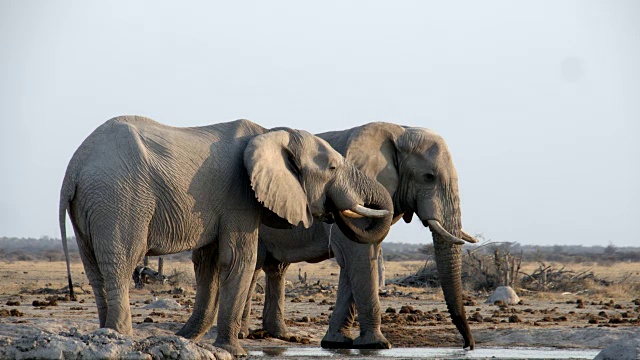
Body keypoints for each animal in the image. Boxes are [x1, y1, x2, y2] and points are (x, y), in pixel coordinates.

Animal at [57, 116, 392, 354]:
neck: (271, 133)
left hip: (91, 205)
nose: (336, 215)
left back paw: (105, 334)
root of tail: (73, 167)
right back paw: (121, 337)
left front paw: (187, 339)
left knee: (94, 268)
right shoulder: (239, 195)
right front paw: (234, 351)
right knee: (121, 263)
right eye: (333, 167)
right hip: (118, 199)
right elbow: (238, 259)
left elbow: (208, 262)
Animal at [242, 122, 478, 350]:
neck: (399, 130)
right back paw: (244, 335)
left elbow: (354, 263)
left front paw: (335, 343)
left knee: (275, 268)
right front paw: (378, 345)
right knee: (255, 266)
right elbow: (360, 257)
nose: (468, 346)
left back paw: (281, 336)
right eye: (428, 177)